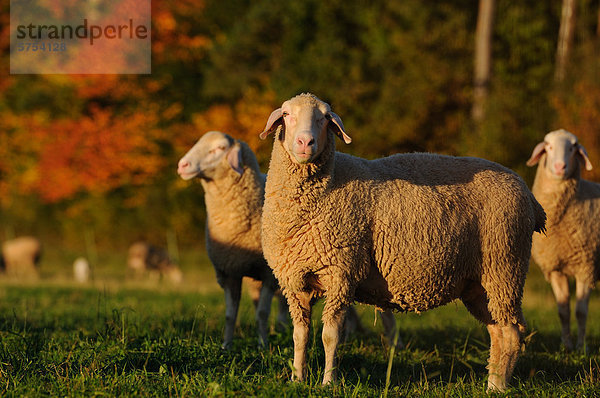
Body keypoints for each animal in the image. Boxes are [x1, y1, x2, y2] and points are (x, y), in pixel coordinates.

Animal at [176, 131, 288, 348]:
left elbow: (262, 313)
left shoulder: (268, 274)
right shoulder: (229, 272)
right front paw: (226, 346)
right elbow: (230, 315)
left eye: (220, 148)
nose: (182, 165)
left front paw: (263, 346)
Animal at [260, 91, 548, 390]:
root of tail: (527, 193)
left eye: (325, 118)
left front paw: (329, 382)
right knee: (498, 331)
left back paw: (497, 387)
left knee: (511, 332)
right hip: (479, 283)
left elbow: (330, 336)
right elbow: (300, 334)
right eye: (287, 114)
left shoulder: (342, 272)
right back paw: (491, 381)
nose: (306, 142)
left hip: (505, 265)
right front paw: (297, 379)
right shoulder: (295, 281)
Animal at [524, 128, 596, 352]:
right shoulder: (555, 268)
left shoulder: (586, 266)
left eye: (573, 147)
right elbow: (563, 310)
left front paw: (581, 347)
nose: (559, 167)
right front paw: (567, 346)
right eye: (548, 146)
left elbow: (581, 312)